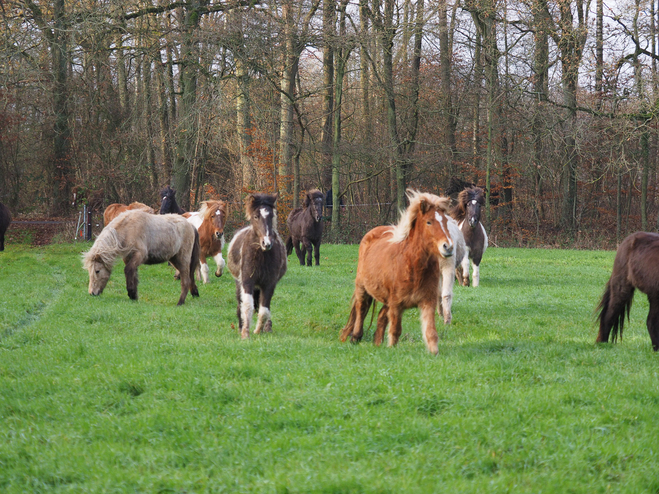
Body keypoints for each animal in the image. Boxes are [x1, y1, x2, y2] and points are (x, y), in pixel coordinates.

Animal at [228, 193, 288, 340]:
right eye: (256, 216)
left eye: (271, 215)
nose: (267, 243)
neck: (262, 256)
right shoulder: (247, 282)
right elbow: (247, 306)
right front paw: (245, 333)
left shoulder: (269, 284)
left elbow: (264, 310)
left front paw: (257, 331)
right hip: (239, 283)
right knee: (240, 304)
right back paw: (240, 326)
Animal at [340, 189, 458, 356]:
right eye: (429, 222)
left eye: (446, 222)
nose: (448, 247)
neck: (413, 266)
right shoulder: (396, 304)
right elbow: (395, 330)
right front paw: (392, 349)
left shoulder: (427, 302)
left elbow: (430, 332)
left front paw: (434, 353)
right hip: (362, 288)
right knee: (361, 309)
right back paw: (355, 337)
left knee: (381, 316)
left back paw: (377, 344)